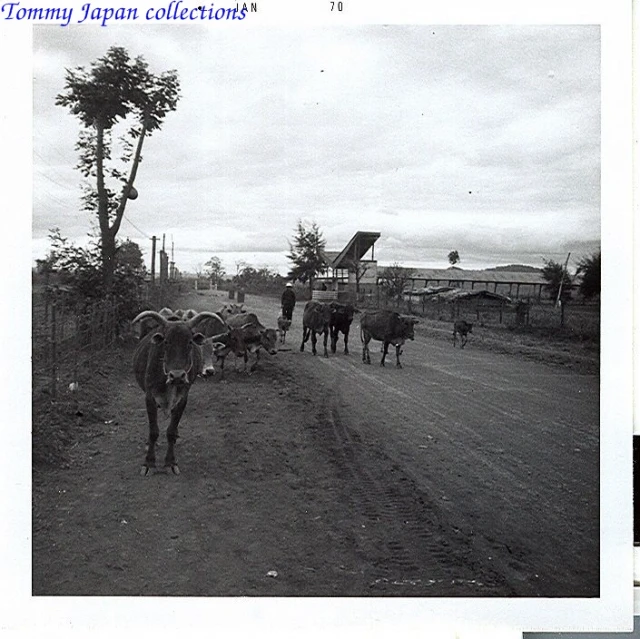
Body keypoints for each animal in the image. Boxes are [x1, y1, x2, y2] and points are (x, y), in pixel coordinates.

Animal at [130, 310, 222, 476]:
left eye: (190, 342)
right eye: (166, 342)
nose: (177, 376)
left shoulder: (182, 399)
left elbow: (171, 431)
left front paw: (170, 462)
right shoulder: (149, 398)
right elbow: (153, 431)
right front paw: (149, 463)